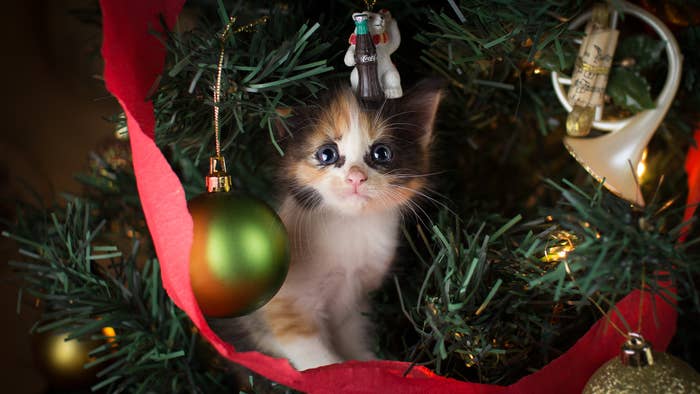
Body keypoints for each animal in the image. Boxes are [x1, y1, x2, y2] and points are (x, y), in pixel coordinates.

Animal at [212, 79, 442, 370]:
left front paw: (369, 365)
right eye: (327, 153)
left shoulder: (355, 301)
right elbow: (317, 360)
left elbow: (353, 340)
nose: (356, 177)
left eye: (381, 153)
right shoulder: (285, 303)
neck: (349, 227)